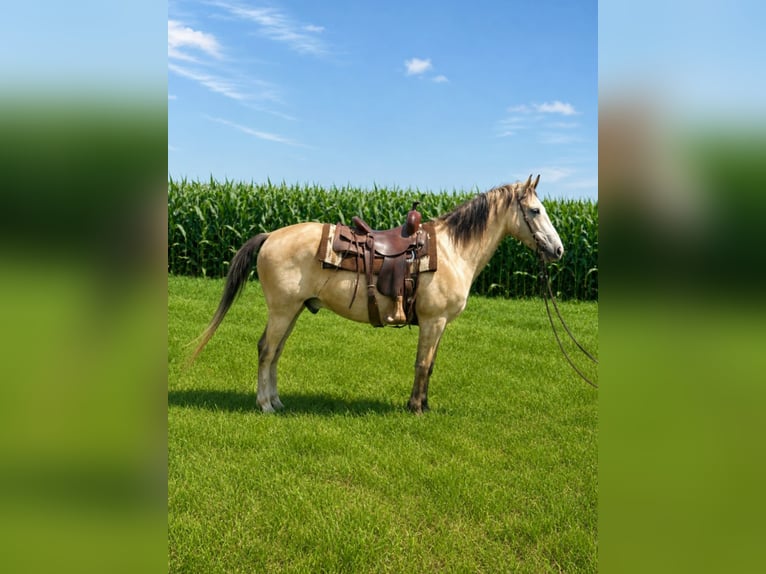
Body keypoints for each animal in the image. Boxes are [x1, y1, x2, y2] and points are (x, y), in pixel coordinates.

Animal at [191, 174, 564, 414]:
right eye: (535, 211)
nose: (558, 249)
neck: (452, 250)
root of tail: (270, 236)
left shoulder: (439, 324)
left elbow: (430, 365)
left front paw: (424, 404)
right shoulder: (433, 321)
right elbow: (422, 364)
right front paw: (416, 408)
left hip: (293, 310)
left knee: (275, 351)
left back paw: (278, 401)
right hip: (282, 310)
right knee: (267, 350)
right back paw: (265, 404)